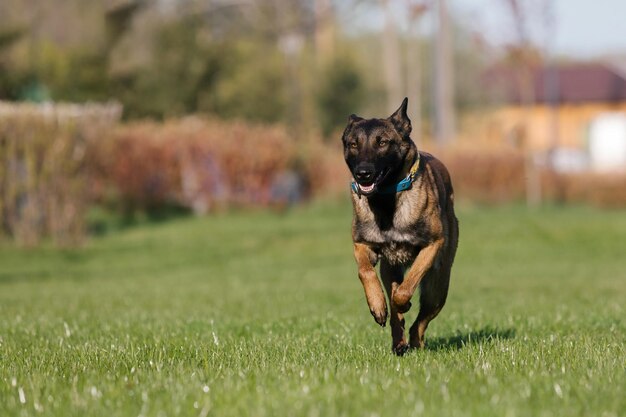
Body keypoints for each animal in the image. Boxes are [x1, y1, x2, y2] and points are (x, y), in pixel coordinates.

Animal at [342, 97, 458, 354]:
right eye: (353, 144)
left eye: (382, 142)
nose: (363, 173)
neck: (385, 200)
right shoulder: (362, 245)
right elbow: (365, 271)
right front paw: (377, 305)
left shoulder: (431, 246)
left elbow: (408, 284)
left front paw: (401, 302)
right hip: (390, 270)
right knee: (398, 314)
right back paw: (398, 341)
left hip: (438, 287)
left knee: (421, 321)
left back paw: (413, 339)